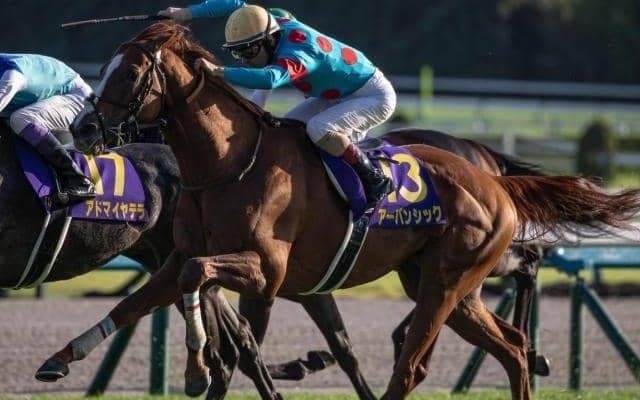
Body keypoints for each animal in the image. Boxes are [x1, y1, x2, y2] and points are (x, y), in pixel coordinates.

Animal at [66, 22, 640, 400]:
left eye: (131, 73)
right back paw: (528, 352)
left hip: (447, 281)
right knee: (511, 346)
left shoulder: (265, 272)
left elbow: (233, 334)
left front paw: (198, 369)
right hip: (445, 285)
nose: (84, 129)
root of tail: (492, 177)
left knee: (416, 361)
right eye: (105, 69)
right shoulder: (189, 258)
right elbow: (161, 297)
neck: (229, 165)